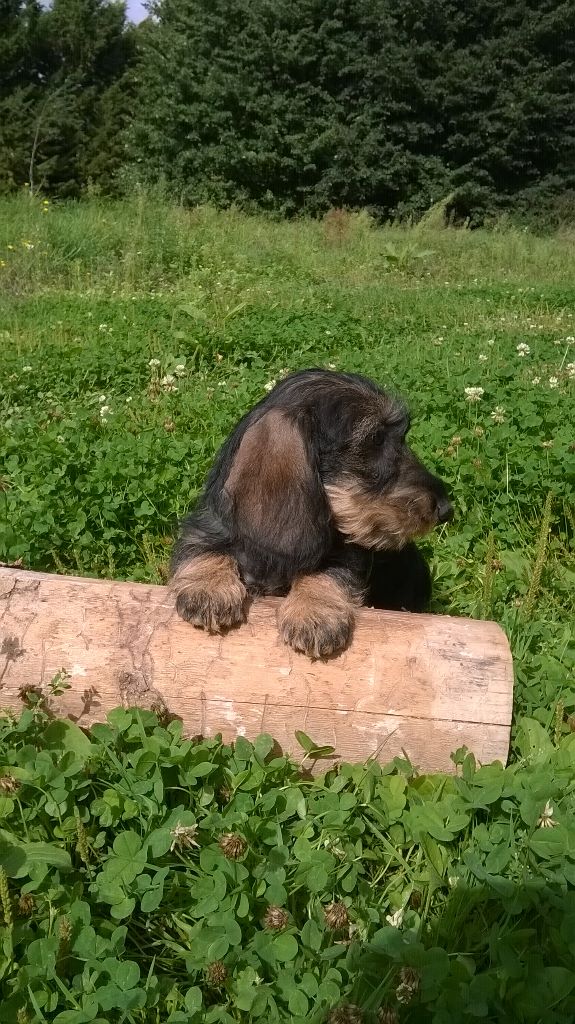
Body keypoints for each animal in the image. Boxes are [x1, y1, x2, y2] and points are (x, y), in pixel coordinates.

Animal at [170, 369, 452, 658]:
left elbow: (326, 570)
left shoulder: (348, 555)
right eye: (375, 438)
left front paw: (314, 612)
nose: (445, 509)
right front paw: (208, 587)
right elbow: (204, 547)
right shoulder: (206, 527)